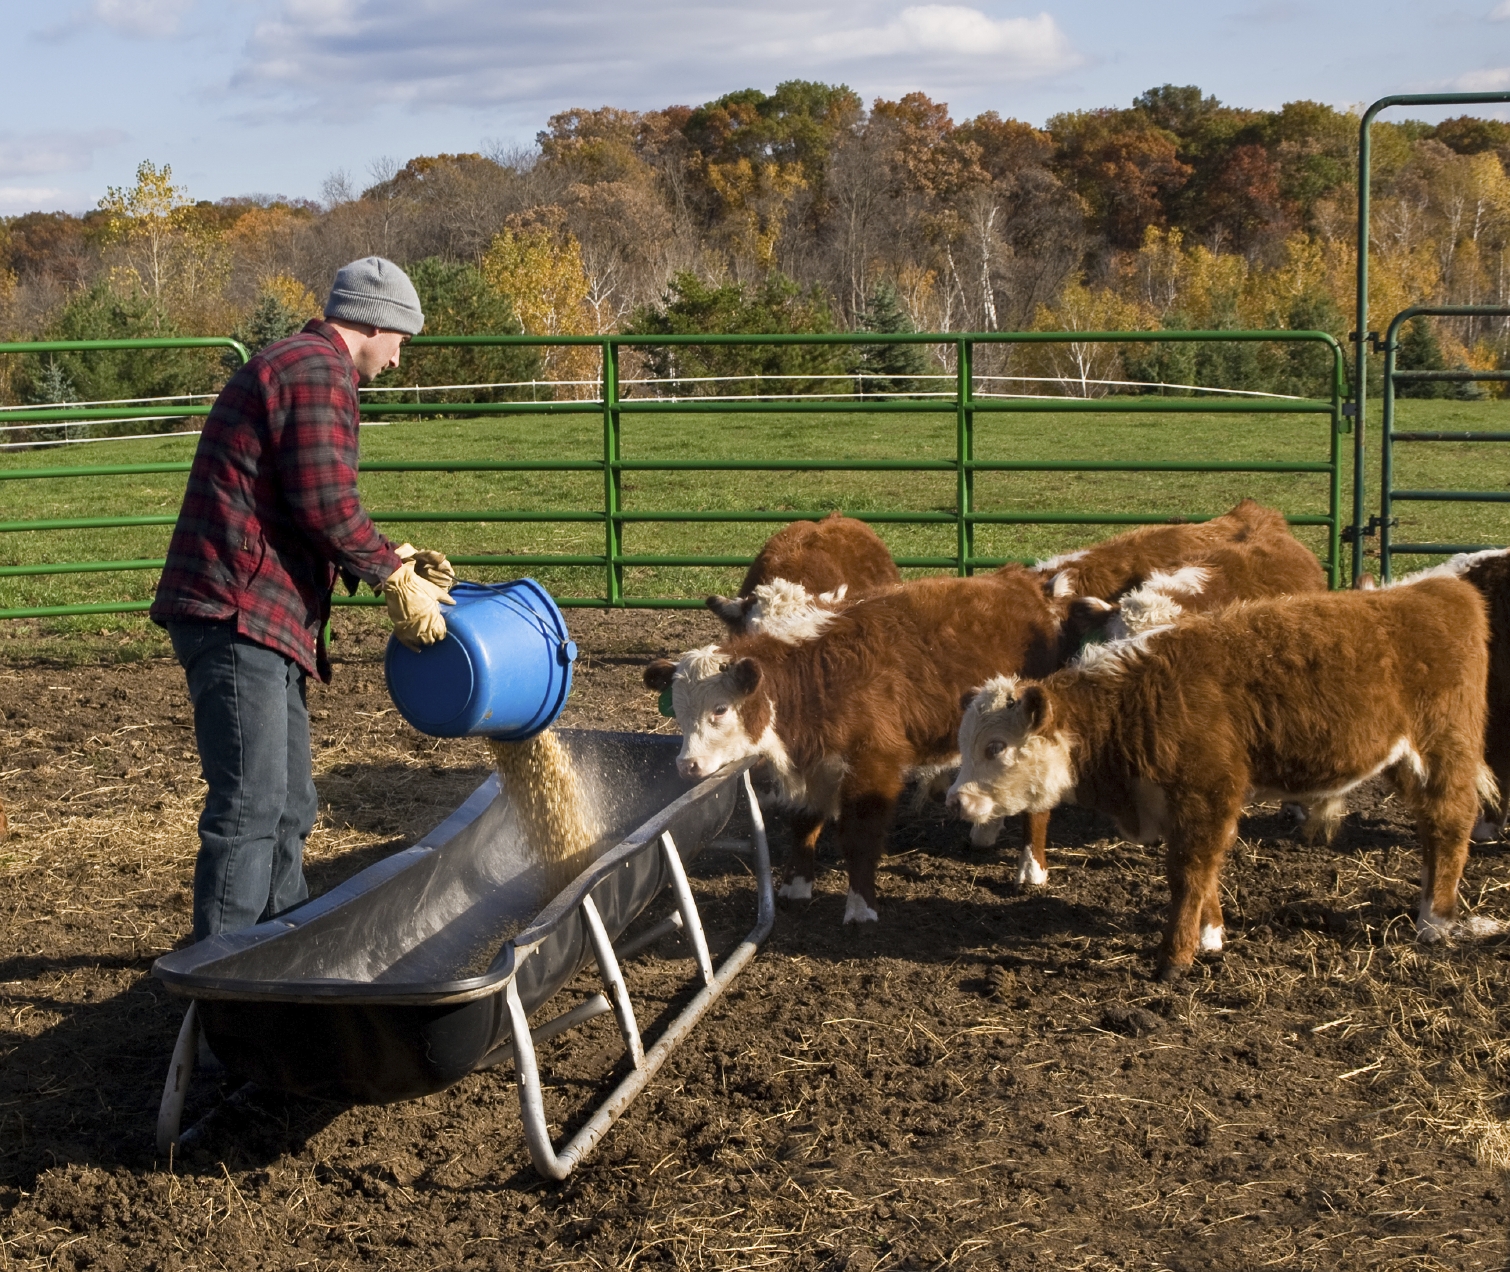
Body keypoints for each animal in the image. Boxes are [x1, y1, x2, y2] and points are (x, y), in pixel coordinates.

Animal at [948, 580, 1491, 978]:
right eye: (963, 743)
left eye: (995, 747)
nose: (956, 801)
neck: (1138, 699)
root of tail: (1435, 589)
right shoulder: (1187, 803)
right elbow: (1205, 868)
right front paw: (1210, 937)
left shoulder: (1206, 792)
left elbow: (1189, 871)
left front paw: (1174, 957)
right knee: (1430, 831)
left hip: (1442, 750)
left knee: (1449, 823)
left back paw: (1436, 920)